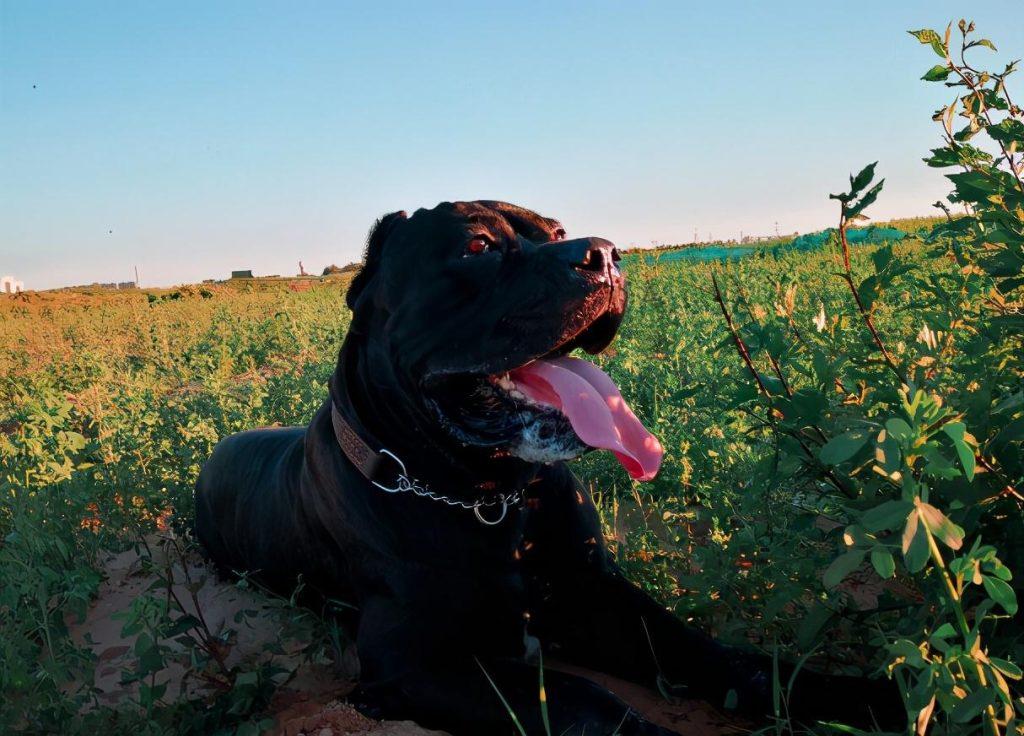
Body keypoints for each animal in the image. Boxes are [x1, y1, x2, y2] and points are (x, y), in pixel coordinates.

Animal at [195, 201, 901, 736]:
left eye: (558, 234)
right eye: (477, 247)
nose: (604, 254)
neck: (489, 497)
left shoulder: (597, 594)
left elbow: (719, 656)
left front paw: (861, 697)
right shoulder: (417, 664)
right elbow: (583, 702)